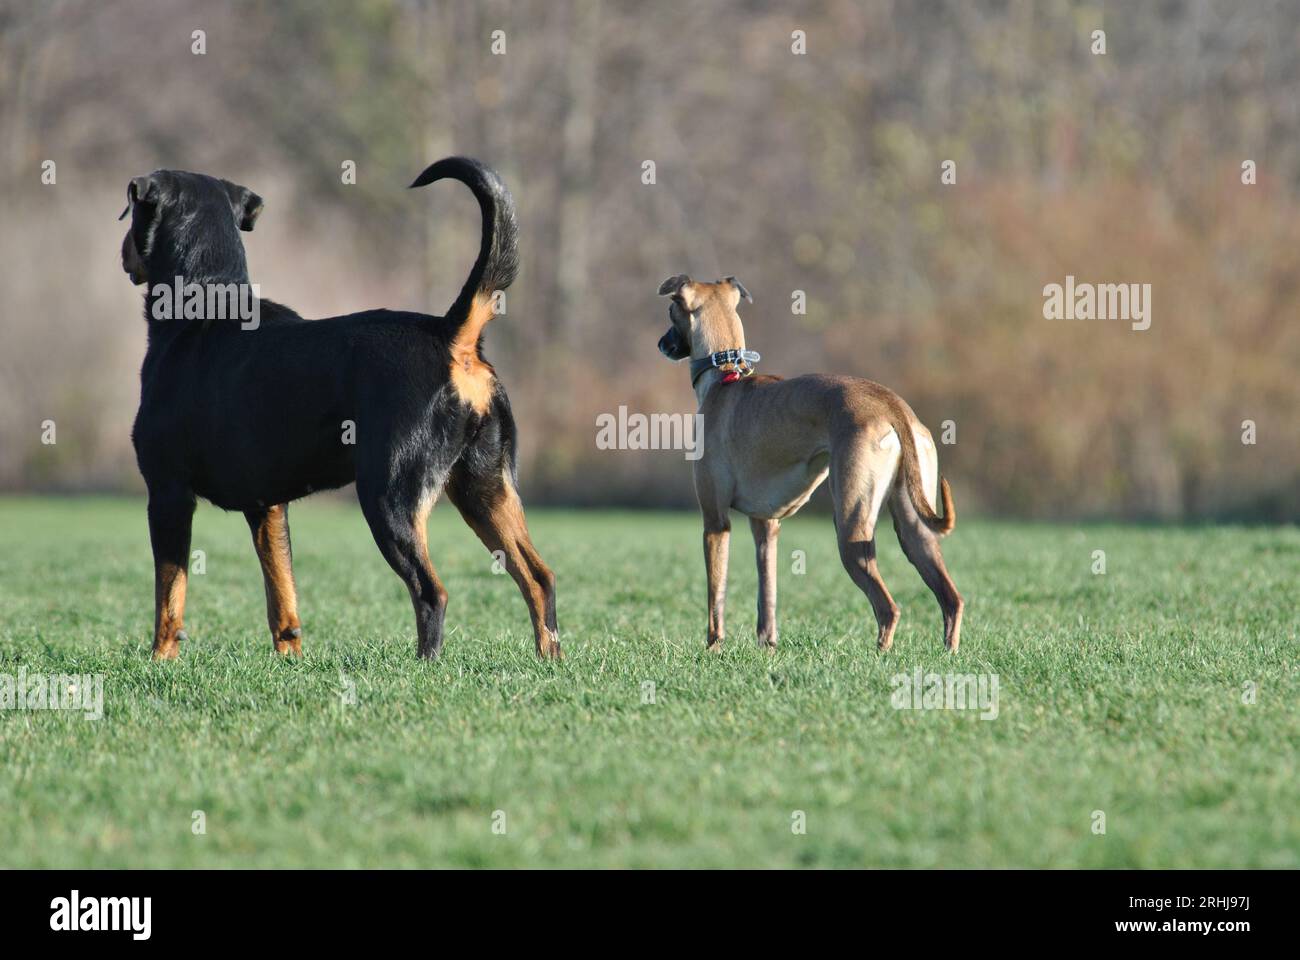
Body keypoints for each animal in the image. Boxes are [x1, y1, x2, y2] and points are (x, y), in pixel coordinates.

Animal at [114, 157, 556, 658]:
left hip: (390, 496)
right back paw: (549, 661)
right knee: (538, 579)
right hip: (485, 488)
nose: (122, 251)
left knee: (431, 591)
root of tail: (449, 334)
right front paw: (290, 661)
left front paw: (159, 661)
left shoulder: (167, 494)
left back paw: (425, 665)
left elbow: (169, 597)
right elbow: (282, 598)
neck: (206, 304)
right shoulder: (267, 508)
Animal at [660, 273, 967, 655]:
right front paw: (768, 645)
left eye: (671, 310)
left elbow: (715, 597)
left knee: (888, 607)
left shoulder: (715, 523)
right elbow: (767, 595)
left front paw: (714, 649)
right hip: (914, 527)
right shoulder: (766, 526)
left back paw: (880, 655)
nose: (661, 343)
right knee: (951, 599)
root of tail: (892, 404)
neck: (726, 377)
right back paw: (949, 654)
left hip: (851, 527)